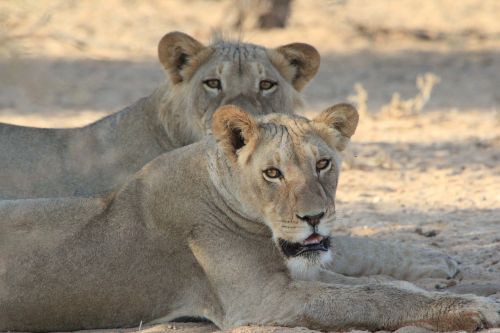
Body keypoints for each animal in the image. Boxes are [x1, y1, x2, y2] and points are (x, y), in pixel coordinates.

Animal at [1, 104, 498, 332]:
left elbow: (382, 286)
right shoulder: (261, 301)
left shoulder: (292, 274)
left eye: (323, 164)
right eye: (272, 173)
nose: (315, 217)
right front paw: (474, 308)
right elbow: (372, 298)